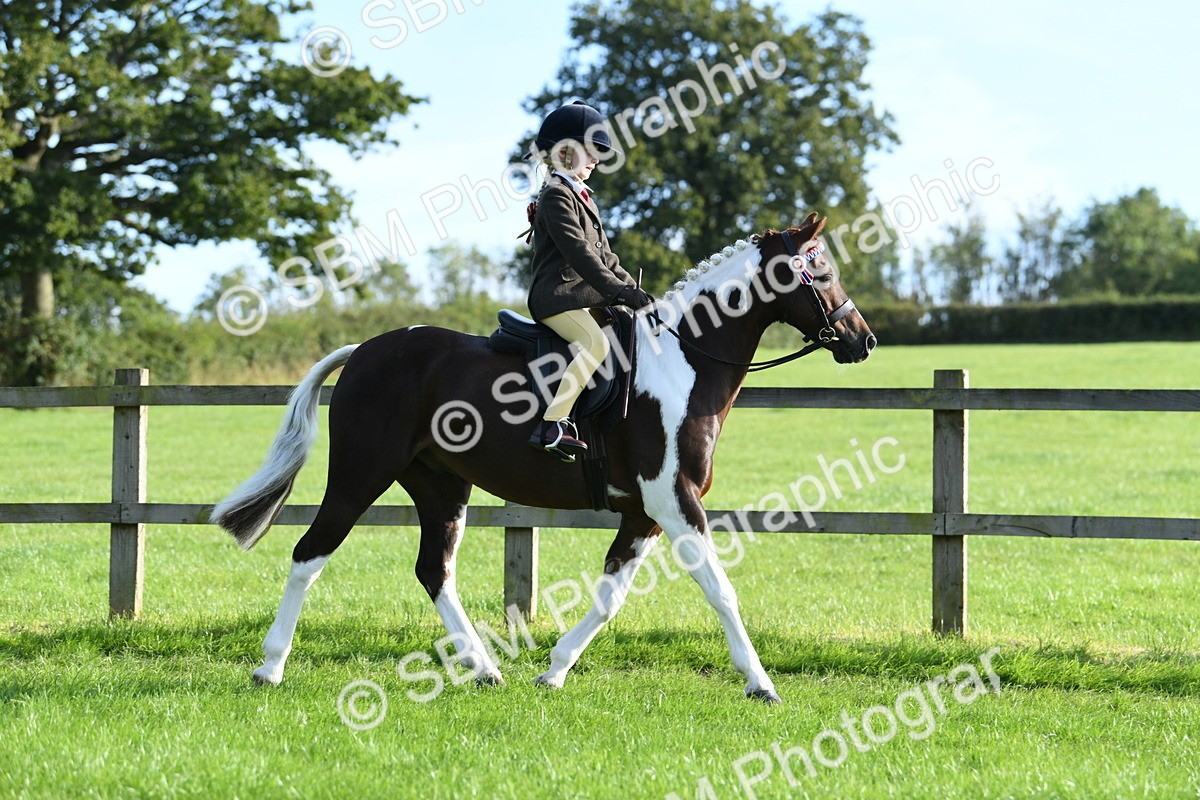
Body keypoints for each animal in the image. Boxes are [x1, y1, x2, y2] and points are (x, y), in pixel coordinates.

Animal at [212, 212, 876, 703]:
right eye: (820, 268)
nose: (862, 340)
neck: (685, 360)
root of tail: (365, 351)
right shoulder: (675, 501)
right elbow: (720, 590)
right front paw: (760, 683)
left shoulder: (645, 514)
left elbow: (610, 597)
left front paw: (554, 670)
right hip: (359, 475)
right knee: (309, 555)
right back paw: (270, 668)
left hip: (441, 486)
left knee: (434, 570)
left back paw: (484, 669)